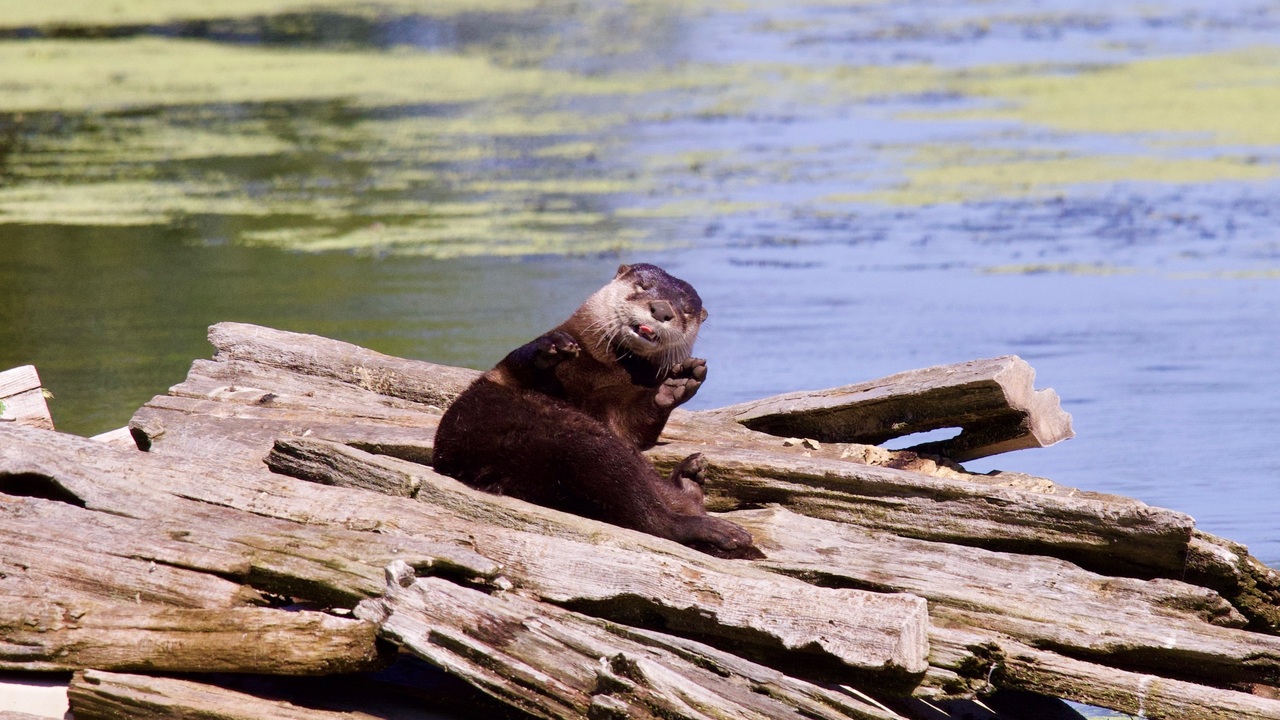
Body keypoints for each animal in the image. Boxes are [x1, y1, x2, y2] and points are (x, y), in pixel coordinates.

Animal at [432, 263, 763, 559]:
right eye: (642, 286)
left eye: (685, 309)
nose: (661, 309)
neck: (602, 373)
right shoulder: (509, 373)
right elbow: (519, 360)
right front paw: (552, 347)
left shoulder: (620, 417)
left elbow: (637, 426)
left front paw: (676, 383)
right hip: (584, 452)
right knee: (653, 519)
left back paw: (692, 481)